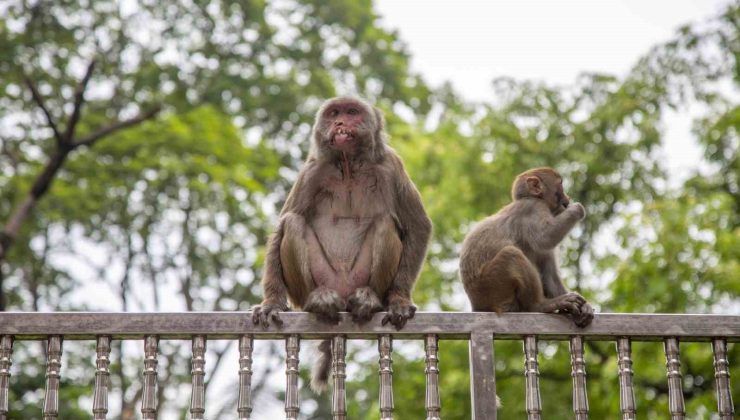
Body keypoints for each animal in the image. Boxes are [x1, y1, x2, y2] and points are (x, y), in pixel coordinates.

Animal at [251, 95, 430, 390]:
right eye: (335, 113)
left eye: (352, 112)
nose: (340, 123)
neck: (348, 165)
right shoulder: (312, 171)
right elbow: (282, 224)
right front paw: (271, 304)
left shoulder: (391, 166)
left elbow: (418, 226)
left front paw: (399, 300)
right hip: (319, 282)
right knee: (293, 222)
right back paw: (318, 300)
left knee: (385, 223)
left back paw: (369, 299)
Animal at [460, 167, 592, 328]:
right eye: (561, 184)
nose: (568, 197)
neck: (530, 198)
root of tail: (477, 305)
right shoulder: (533, 207)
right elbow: (545, 237)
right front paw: (577, 208)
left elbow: (549, 272)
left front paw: (585, 307)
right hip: (489, 287)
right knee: (511, 254)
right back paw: (539, 305)